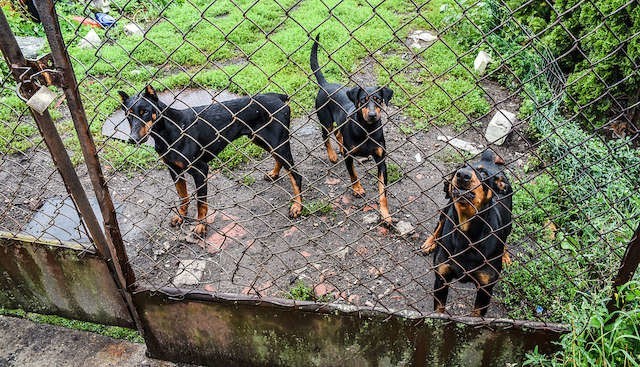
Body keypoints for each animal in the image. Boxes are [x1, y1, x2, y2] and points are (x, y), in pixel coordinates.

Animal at [119, 86, 304, 234]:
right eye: (128, 116)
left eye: (145, 112)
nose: (132, 139)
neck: (171, 130)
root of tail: (279, 96)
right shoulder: (174, 170)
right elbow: (183, 196)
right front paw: (181, 216)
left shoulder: (200, 170)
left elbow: (201, 203)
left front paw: (201, 226)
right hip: (261, 139)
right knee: (280, 161)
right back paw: (274, 173)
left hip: (277, 142)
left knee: (296, 175)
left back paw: (297, 206)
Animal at [308, 34, 392, 224]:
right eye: (362, 100)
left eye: (378, 100)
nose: (372, 115)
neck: (367, 129)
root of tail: (325, 84)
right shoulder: (349, 156)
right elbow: (353, 173)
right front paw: (358, 189)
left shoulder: (381, 160)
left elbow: (382, 191)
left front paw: (385, 214)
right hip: (325, 120)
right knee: (326, 136)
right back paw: (332, 155)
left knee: (338, 133)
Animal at [420, 151, 516, 318]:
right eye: (458, 169)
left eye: (484, 174)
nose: (462, 175)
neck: (466, 233)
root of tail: (487, 159)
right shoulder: (441, 279)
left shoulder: (485, 289)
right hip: (446, 208)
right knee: (439, 224)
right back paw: (430, 242)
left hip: (509, 221)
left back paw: (505, 255)